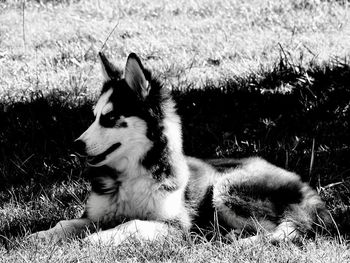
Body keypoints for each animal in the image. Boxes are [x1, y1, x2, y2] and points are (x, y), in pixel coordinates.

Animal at [27, 52, 330, 246]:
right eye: (94, 116)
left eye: (110, 118)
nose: (75, 145)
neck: (133, 174)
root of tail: (308, 190)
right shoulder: (94, 214)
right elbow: (66, 224)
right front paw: (41, 236)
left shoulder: (175, 226)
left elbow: (130, 224)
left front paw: (97, 239)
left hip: (227, 188)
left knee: (290, 228)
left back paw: (245, 242)